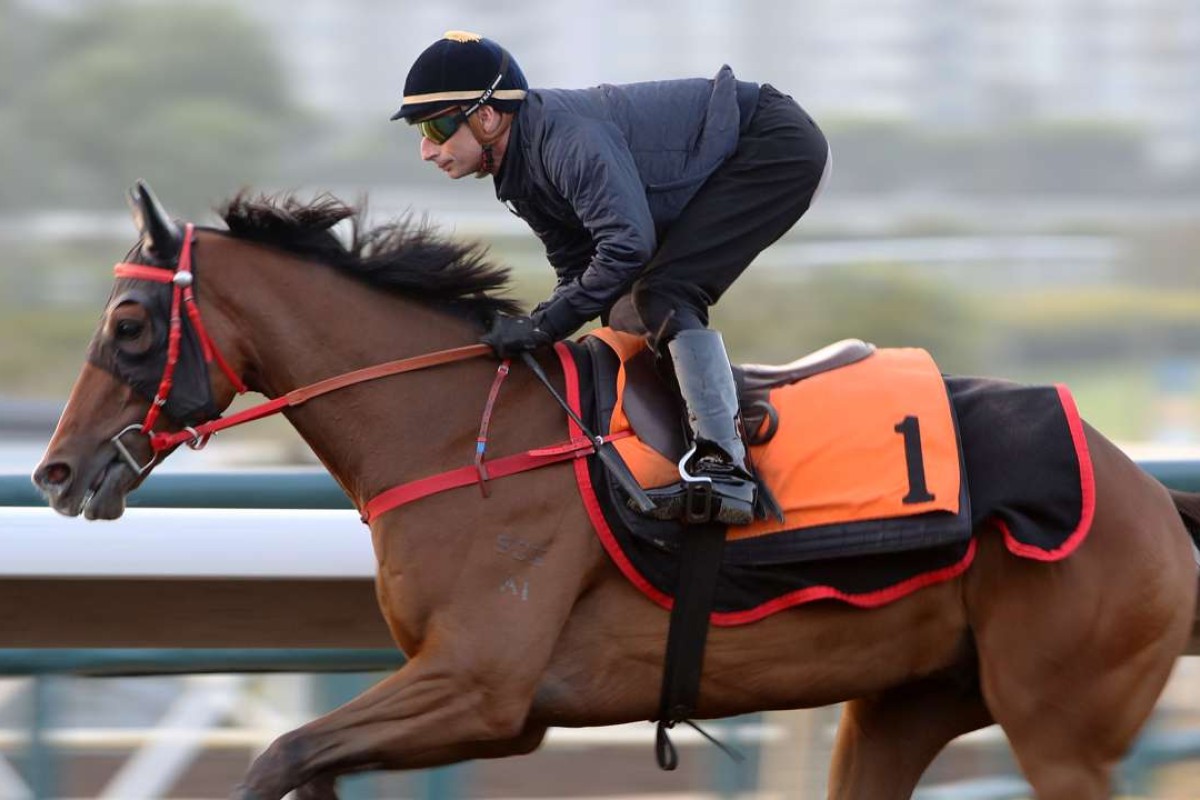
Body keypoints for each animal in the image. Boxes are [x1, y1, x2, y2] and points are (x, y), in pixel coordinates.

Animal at [32, 181, 1200, 800]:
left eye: (127, 324)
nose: (55, 470)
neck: (460, 435)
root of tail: (1145, 493)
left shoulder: (481, 684)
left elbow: (277, 751)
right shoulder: (491, 711)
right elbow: (300, 758)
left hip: (1060, 719)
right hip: (909, 703)